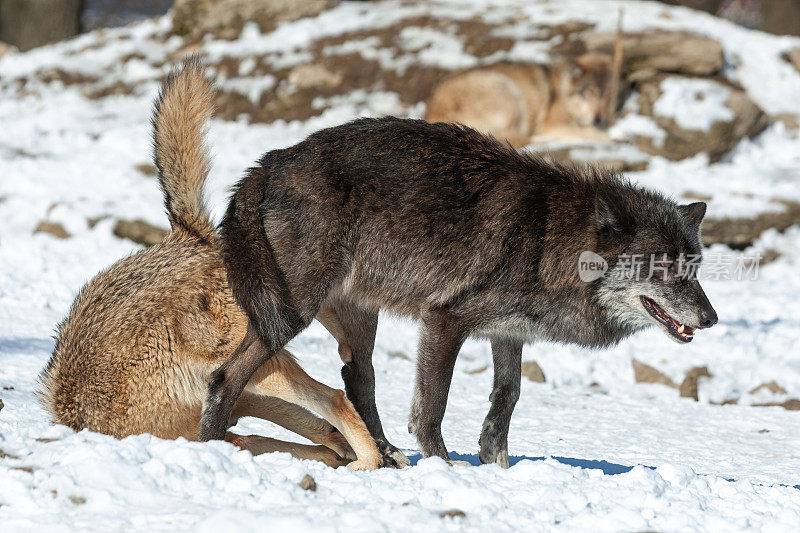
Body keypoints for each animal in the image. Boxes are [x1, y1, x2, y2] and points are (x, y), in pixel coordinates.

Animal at [39, 57, 382, 470]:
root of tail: (190, 237)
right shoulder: (240, 408)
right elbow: (315, 437)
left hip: (264, 369)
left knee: (334, 397)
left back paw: (369, 459)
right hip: (274, 361)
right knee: (338, 394)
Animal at [200, 111, 720, 466]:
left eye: (694, 267)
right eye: (664, 268)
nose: (711, 319)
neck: (551, 239)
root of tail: (272, 161)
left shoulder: (509, 332)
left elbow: (507, 398)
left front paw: (497, 463)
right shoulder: (444, 319)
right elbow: (432, 406)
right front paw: (444, 467)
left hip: (357, 320)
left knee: (357, 379)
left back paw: (384, 452)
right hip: (290, 312)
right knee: (226, 376)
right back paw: (211, 448)